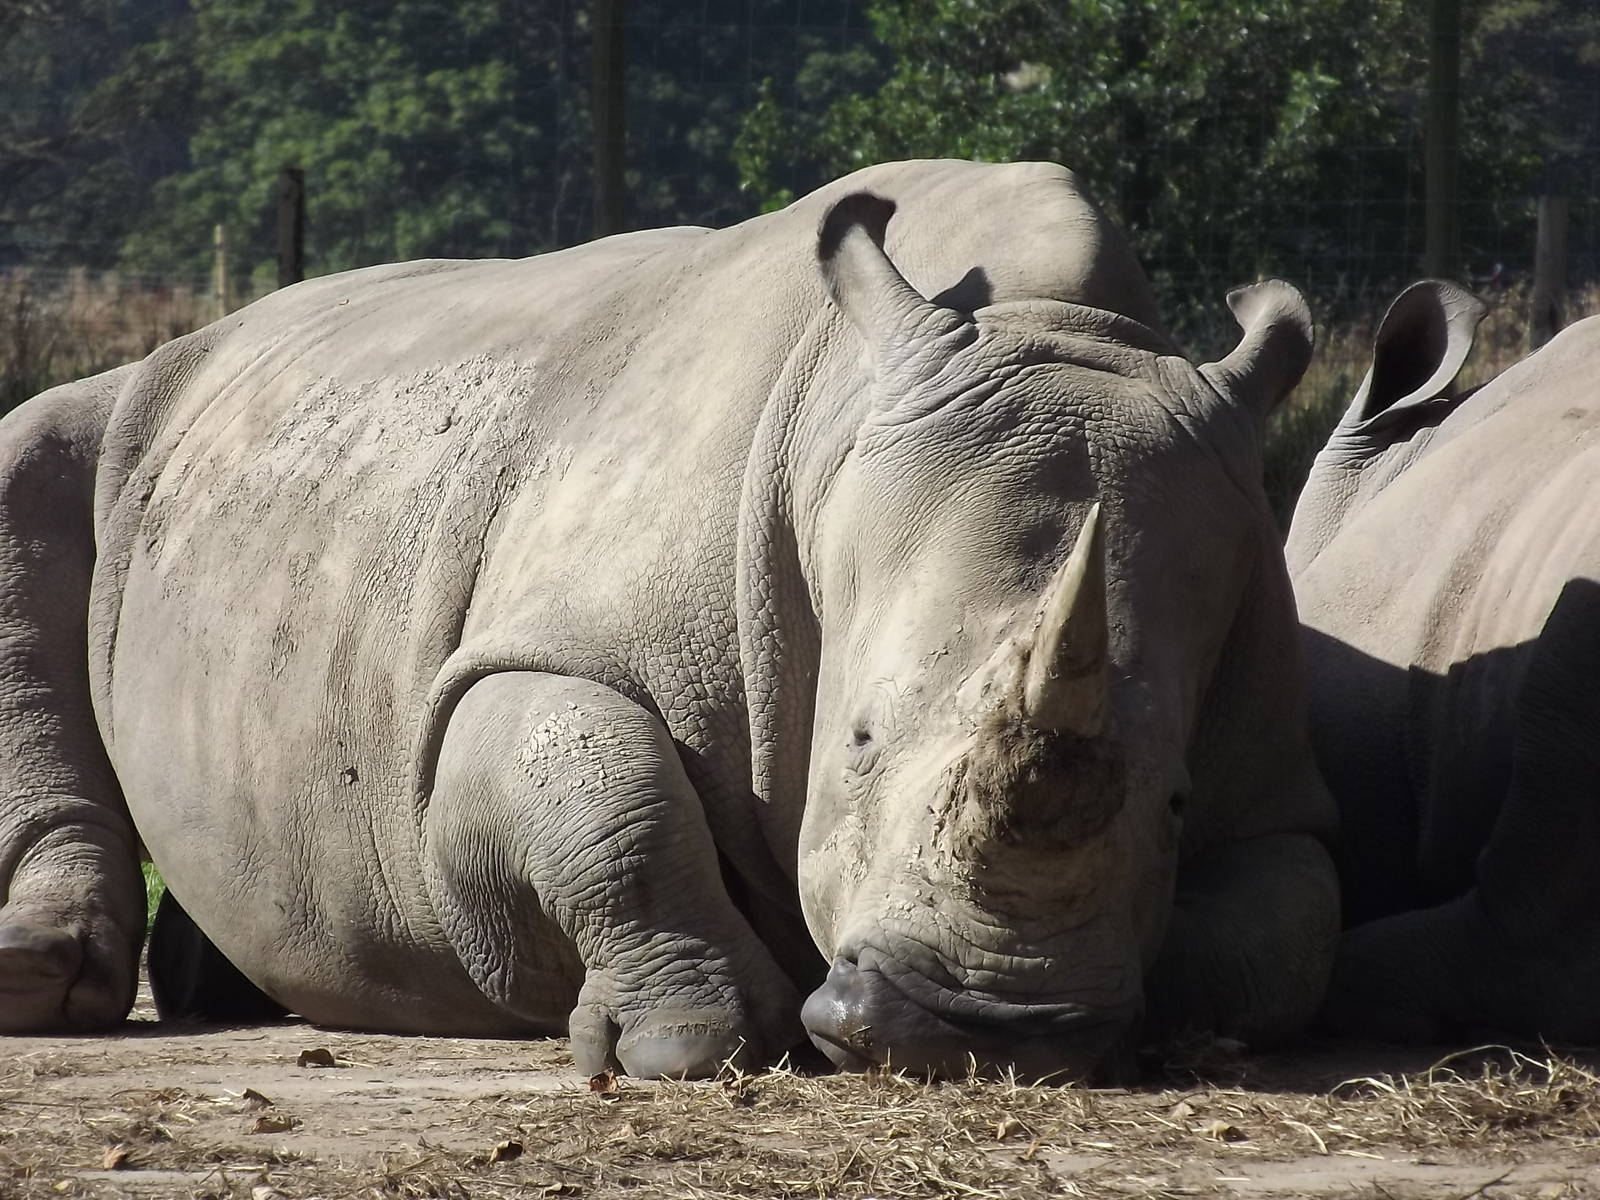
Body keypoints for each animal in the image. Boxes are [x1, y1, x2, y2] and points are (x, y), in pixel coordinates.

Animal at [0, 159, 1337, 1079]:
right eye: (855, 746)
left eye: (1175, 799)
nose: (976, 1026)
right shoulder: (526, 654)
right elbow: (606, 791)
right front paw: (681, 1043)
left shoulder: (1274, 759)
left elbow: (1284, 923)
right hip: (128, 415)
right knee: (36, 457)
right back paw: (44, 983)